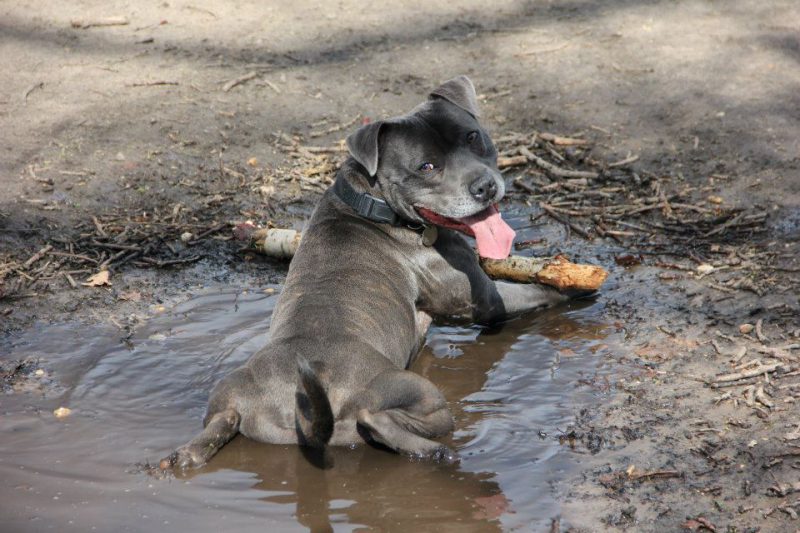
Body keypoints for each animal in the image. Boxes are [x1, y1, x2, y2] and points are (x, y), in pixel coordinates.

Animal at [159, 76, 580, 470]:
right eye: (427, 167)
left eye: (474, 138)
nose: (485, 186)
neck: (373, 202)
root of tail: (290, 409)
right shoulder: (484, 298)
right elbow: (537, 290)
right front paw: (575, 288)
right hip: (411, 390)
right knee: (375, 420)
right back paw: (436, 452)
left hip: (227, 397)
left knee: (221, 423)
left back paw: (185, 455)